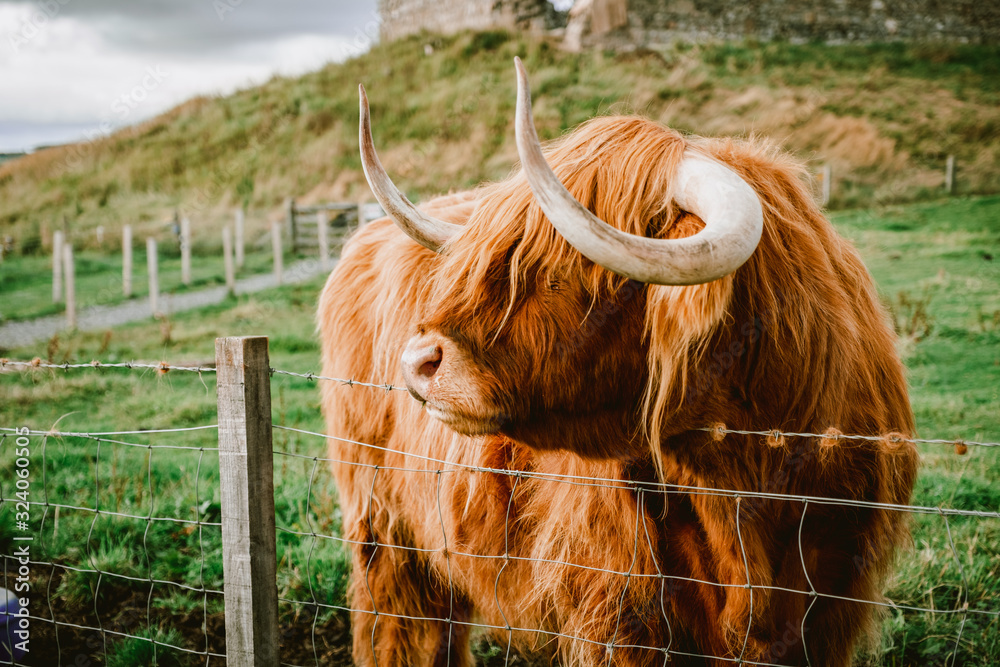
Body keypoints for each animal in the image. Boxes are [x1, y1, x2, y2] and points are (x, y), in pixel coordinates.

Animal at [318, 58, 918, 666]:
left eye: (562, 269)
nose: (418, 361)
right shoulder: (620, 608)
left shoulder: (831, 602)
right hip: (383, 523)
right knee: (400, 619)